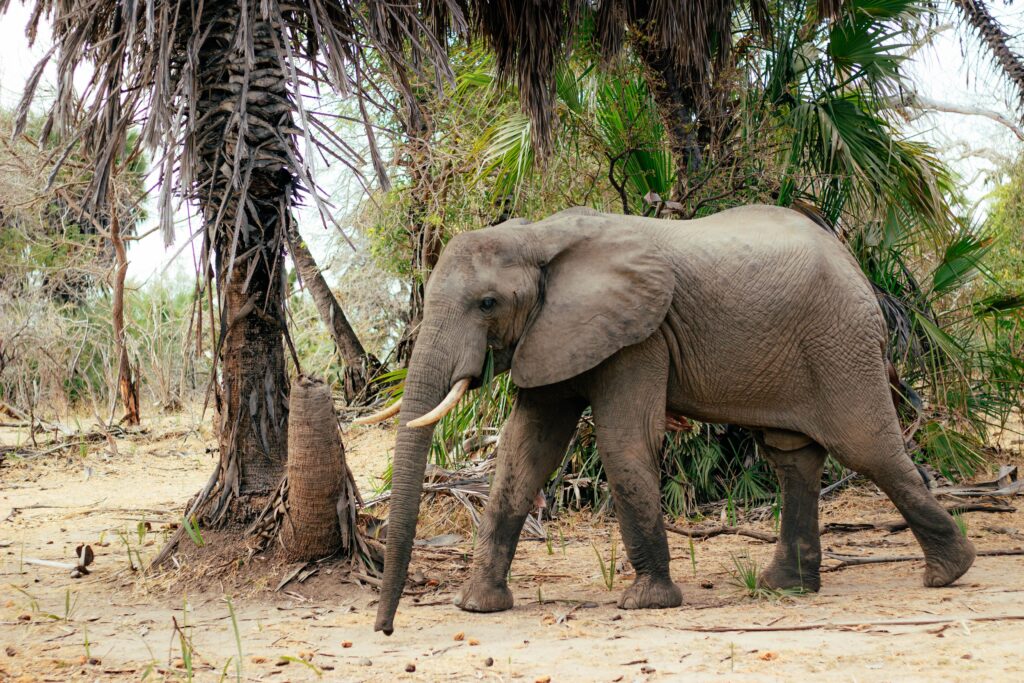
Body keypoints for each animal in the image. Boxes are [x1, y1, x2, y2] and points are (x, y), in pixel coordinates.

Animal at [363, 205, 976, 635]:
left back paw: (949, 572)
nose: (385, 628)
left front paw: (646, 603)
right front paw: (477, 607)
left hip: (841, 341)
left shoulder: (639, 334)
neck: (539, 236)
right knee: (792, 456)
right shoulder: (553, 333)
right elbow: (525, 452)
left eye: (488, 304)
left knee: (867, 447)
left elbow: (621, 442)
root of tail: (853, 261)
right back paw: (786, 590)